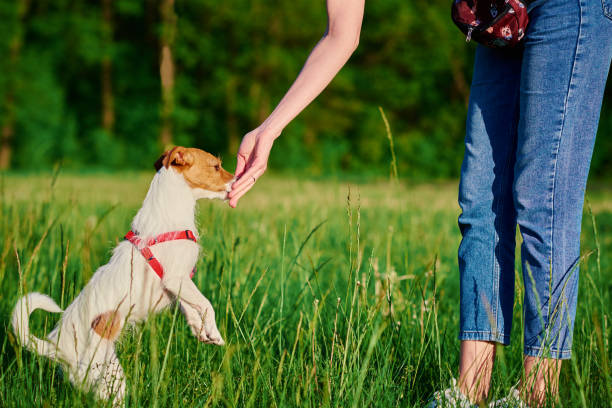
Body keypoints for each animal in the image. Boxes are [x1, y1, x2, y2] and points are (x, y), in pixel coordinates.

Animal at [10, 147, 234, 404]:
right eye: (216, 166)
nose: (236, 180)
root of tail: (57, 349)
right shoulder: (175, 278)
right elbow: (206, 304)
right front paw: (214, 331)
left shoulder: (176, 284)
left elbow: (190, 307)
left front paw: (200, 330)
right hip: (111, 380)